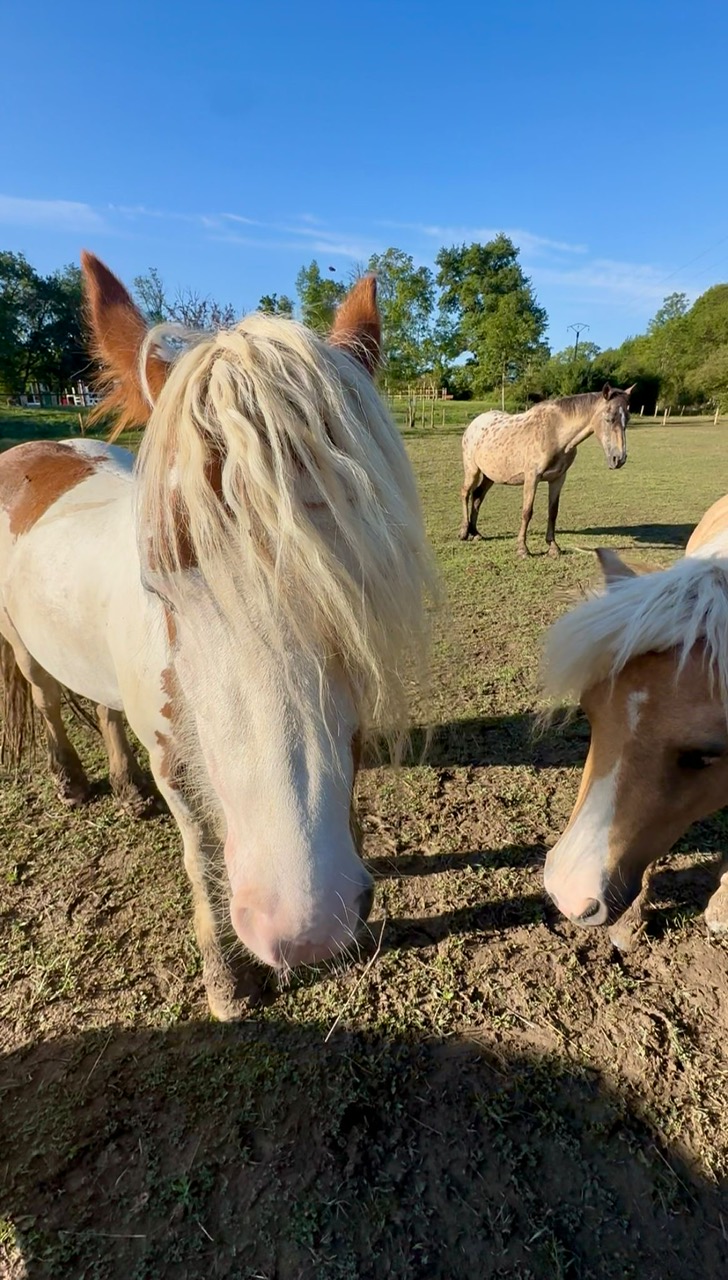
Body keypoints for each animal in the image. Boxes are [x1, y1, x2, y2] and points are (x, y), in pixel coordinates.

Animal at [0, 253, 435, 1019]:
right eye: (158, 573)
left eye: (362, 568)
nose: (304, 925)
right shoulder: (176, 761)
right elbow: (202, 853)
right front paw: (225, 979)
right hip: (22, 645)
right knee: (47, 698)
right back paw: (73, 782)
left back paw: (126, 788)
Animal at [459, 385, 634, 557]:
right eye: (608, 418)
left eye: (628, 418)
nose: (619, 459)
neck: (555, 433)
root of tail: (474, 423)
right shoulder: (532, 477)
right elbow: (527, 512)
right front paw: (522, 549)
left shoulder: (558, 479)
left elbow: (553, 512)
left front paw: (553, 547)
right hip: (472, 470)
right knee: (466, 493)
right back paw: (464, 532)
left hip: (490, 475)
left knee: (478, 496)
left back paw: (475, 533)